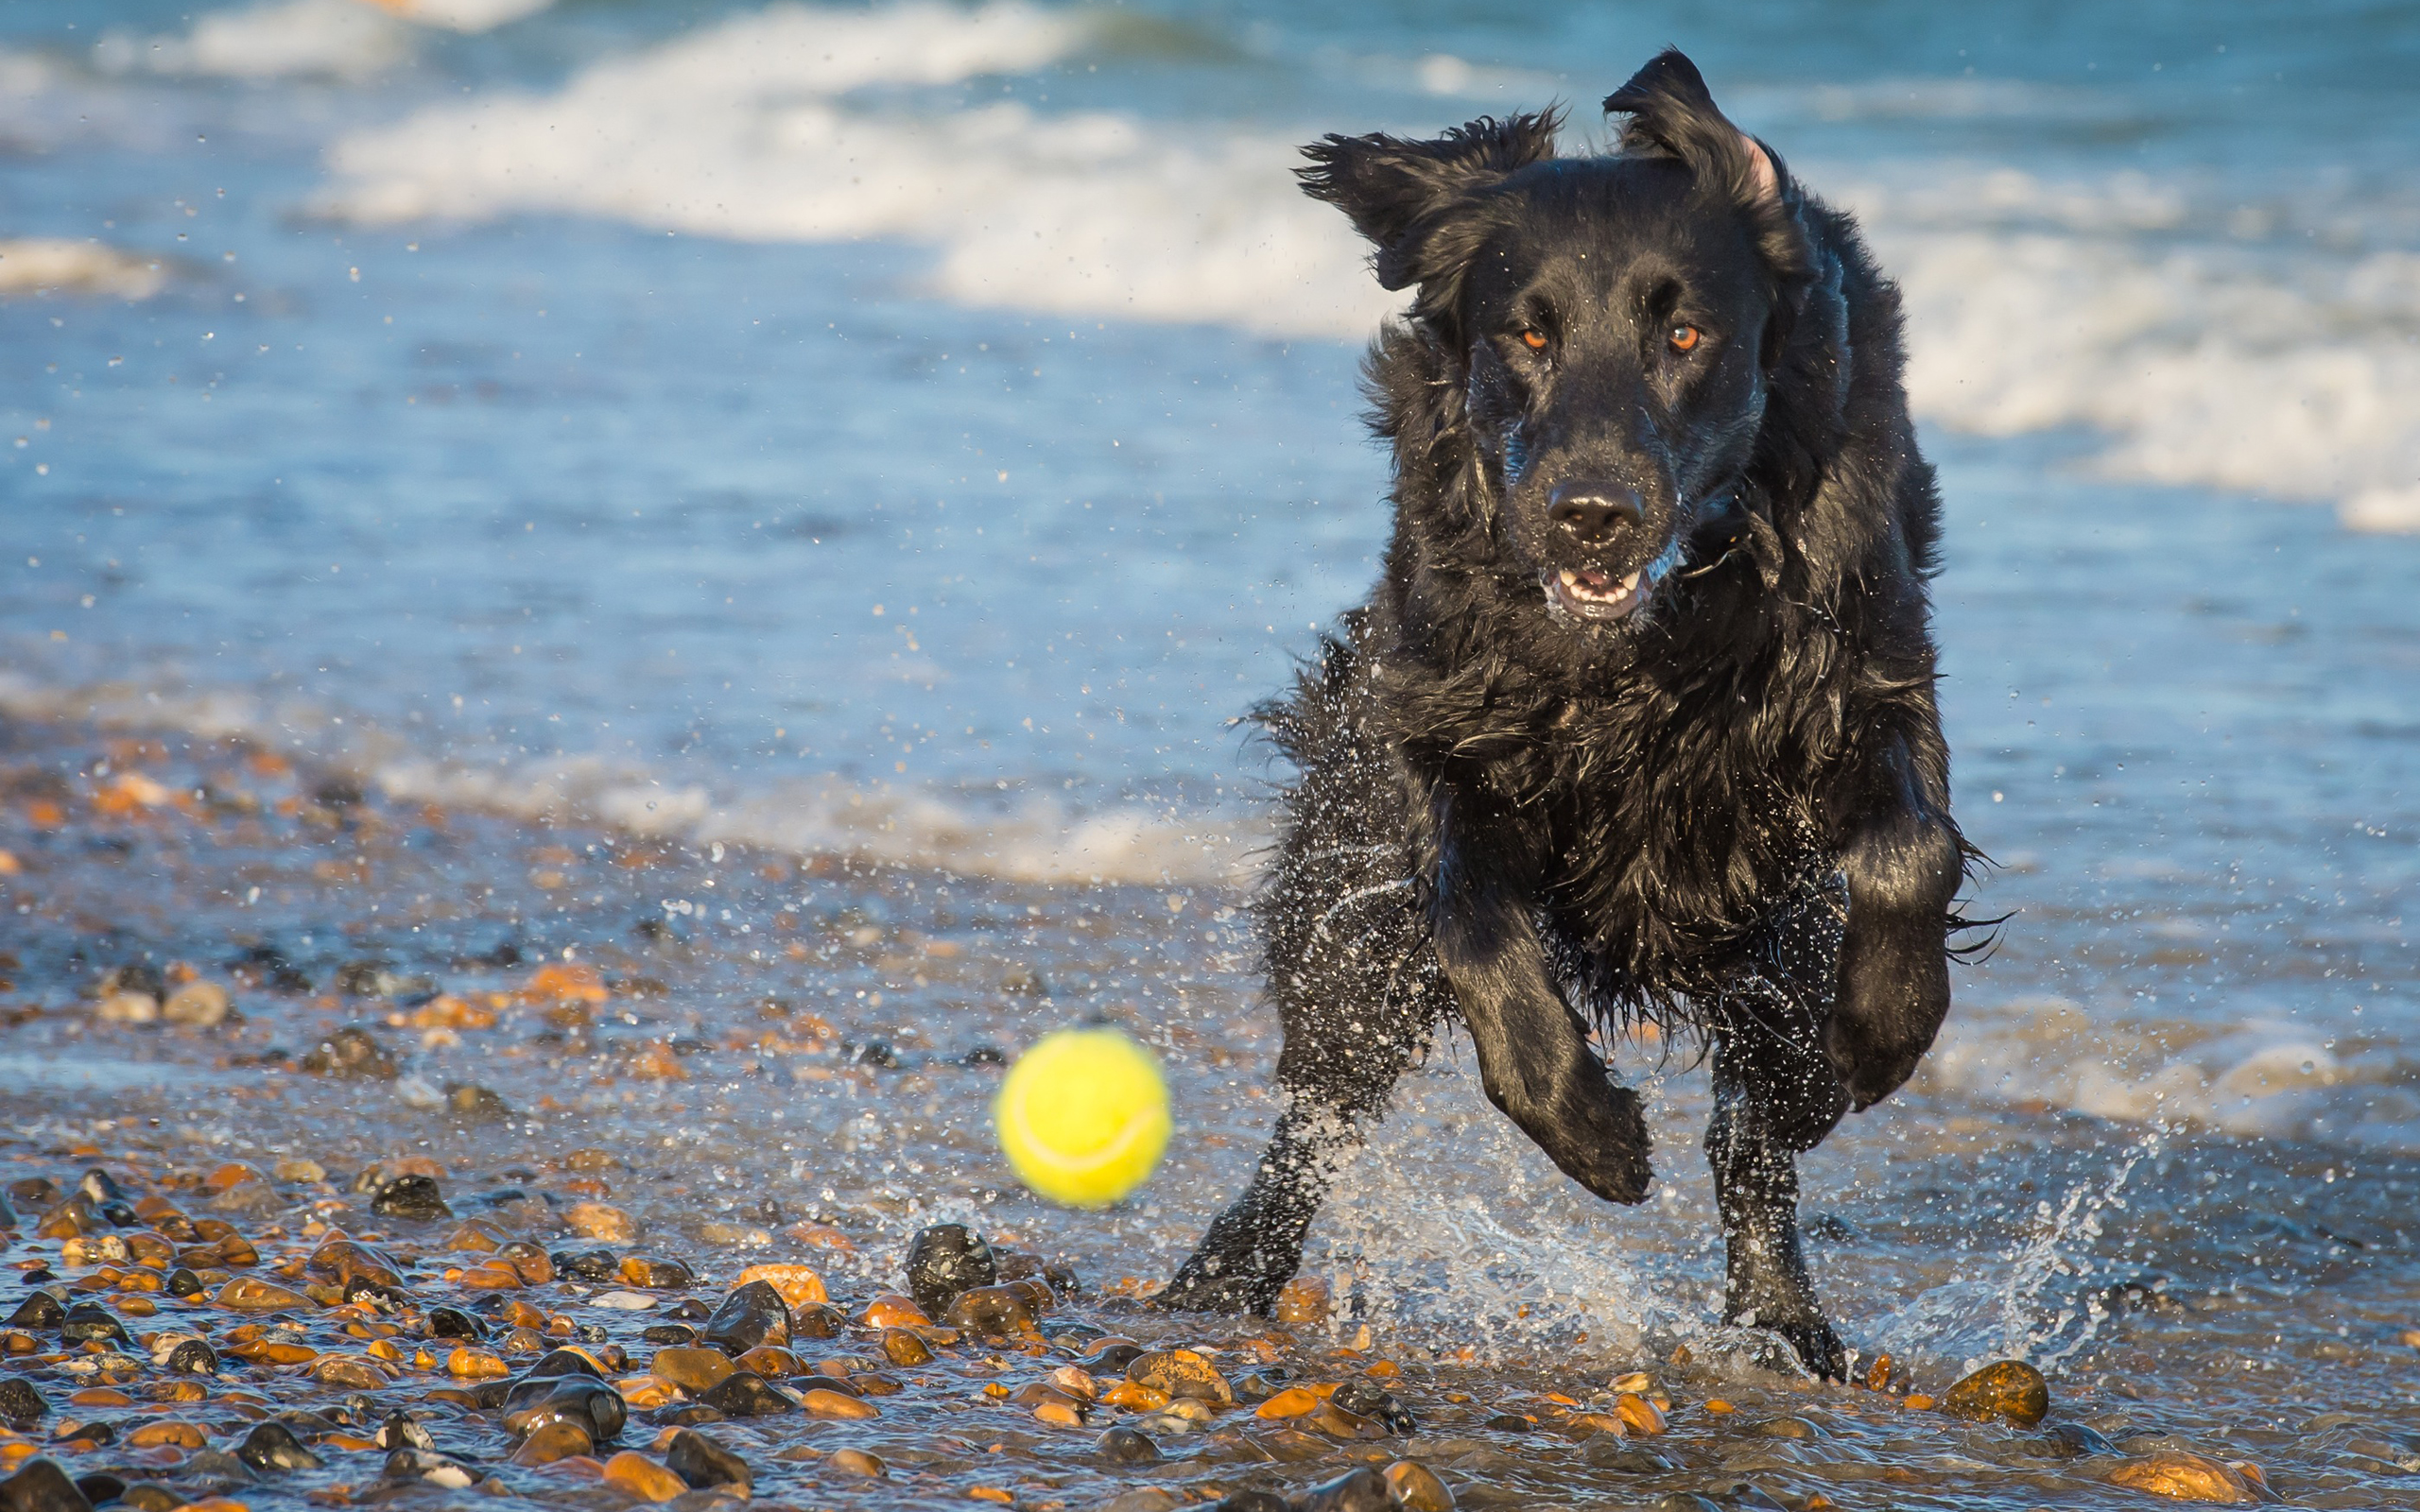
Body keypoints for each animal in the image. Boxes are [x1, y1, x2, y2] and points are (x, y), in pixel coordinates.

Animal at [1161, 46, 1974, 1374]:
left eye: (1684, 332)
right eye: (1526, 332)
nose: (1591, 515)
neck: (1638, 646)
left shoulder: (1862, 688)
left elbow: (1911, 852)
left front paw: (1869, 1039)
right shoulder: (1444, 732)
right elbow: (1475, 932)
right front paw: (1590, 1132)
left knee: (1751, 1141)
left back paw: (1781, 1314)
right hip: (1346, 882)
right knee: (1320, 1103)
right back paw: (1223, 1272)